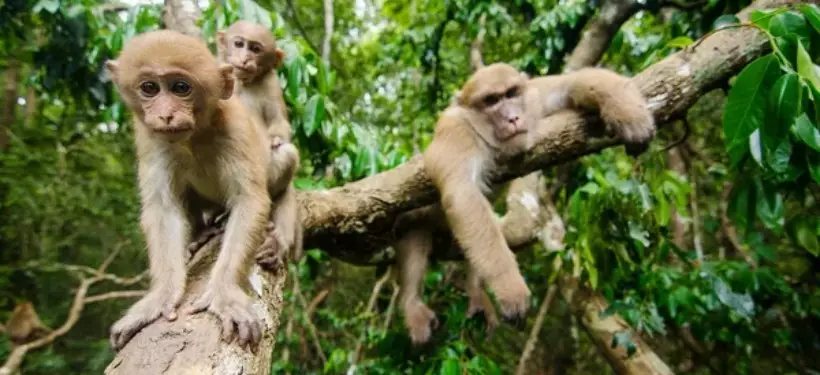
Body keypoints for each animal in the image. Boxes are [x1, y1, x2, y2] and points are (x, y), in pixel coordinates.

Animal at [104, 30, 272, 352]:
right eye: (149, 88)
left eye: (181, 87)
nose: (166, 115)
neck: (193, 137)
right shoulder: (150, 138)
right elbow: (163, 209)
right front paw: (161, 297)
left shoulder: (234, 128)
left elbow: (248, 200)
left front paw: (224, 293)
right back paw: (200, 235)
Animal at [216, 20, 302, 264]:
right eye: (239, 44)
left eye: (255, 49)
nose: (244, 59)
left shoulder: (272, 84)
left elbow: (279, 123)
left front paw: (276, 140)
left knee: (288, 155)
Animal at [394, 63, 656, 346]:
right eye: (491, 101)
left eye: (511, 93)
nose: (513, 118)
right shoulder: (456, 130)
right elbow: (463, 195)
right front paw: (510, 286)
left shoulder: (533, 97)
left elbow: (571, 84)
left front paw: (627, 112)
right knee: (418, 237)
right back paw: (412, 302)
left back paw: (475, 289)